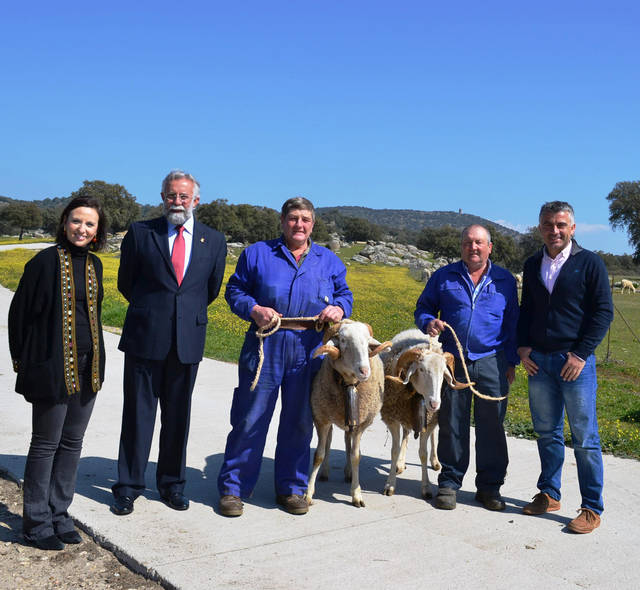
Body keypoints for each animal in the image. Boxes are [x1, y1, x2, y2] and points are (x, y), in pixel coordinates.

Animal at [306, 322, 392, 512]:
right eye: (343, 340)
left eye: (368, 341)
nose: (364, 371)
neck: (349, 384)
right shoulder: (321, 418)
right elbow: (319, 455)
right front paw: (307, 494)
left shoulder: (360, 424)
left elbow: (356, 456)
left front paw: (356, 494)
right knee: (330, 441)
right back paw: (325, 472)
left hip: (350, 420)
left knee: (347, 441)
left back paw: (348, 472)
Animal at [380, 330, 470, 502]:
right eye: (421, 369)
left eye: (444, 372)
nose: (435, 403)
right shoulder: (392, 419)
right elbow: (394, 450)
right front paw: (390, 485)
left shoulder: (428, 422)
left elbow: (423, 453)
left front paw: (426, 488)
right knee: (406, 433)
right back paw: (400, 463)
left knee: (434, 435)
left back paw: (435, 461)